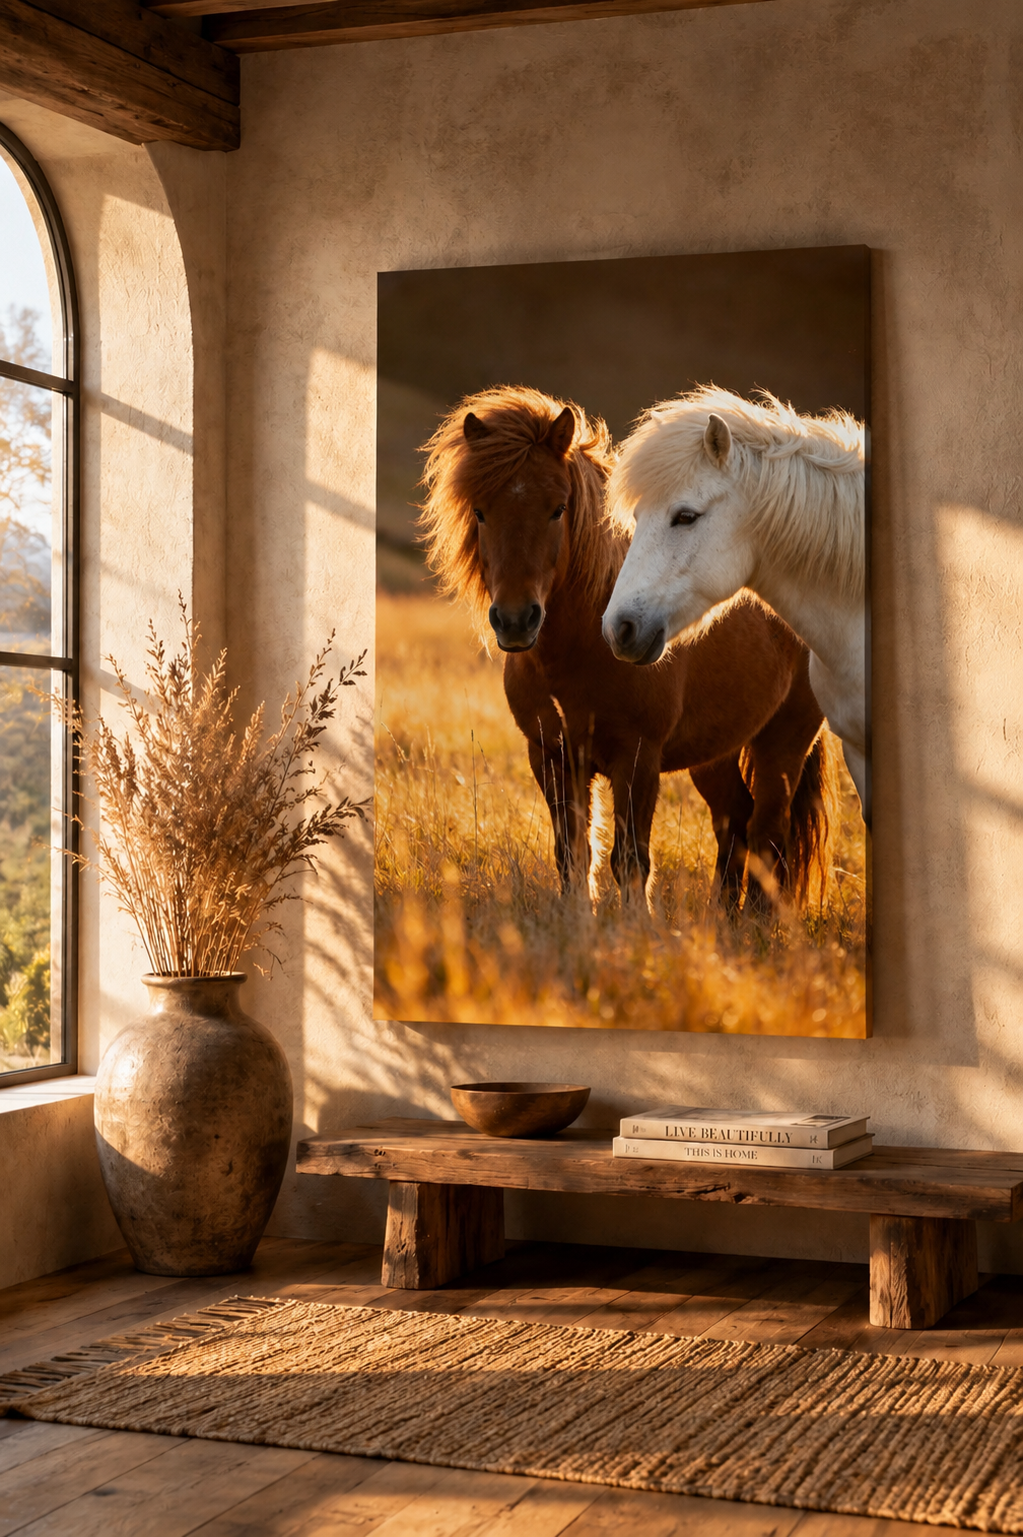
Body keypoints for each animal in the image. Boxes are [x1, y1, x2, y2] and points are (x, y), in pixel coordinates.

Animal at [418, 385, 837, 911]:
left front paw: (635, 926)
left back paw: (756, 924)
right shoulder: (552, 757)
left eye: (557, 509)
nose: (515, 621)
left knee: (769, 833)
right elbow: (573, 855)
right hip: (714, 754)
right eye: (480, 511)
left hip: (783, 741)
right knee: (735, 821)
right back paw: (725, 920)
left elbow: (630, 860)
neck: (579, 651)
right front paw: (578, 920)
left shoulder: (637, 760)